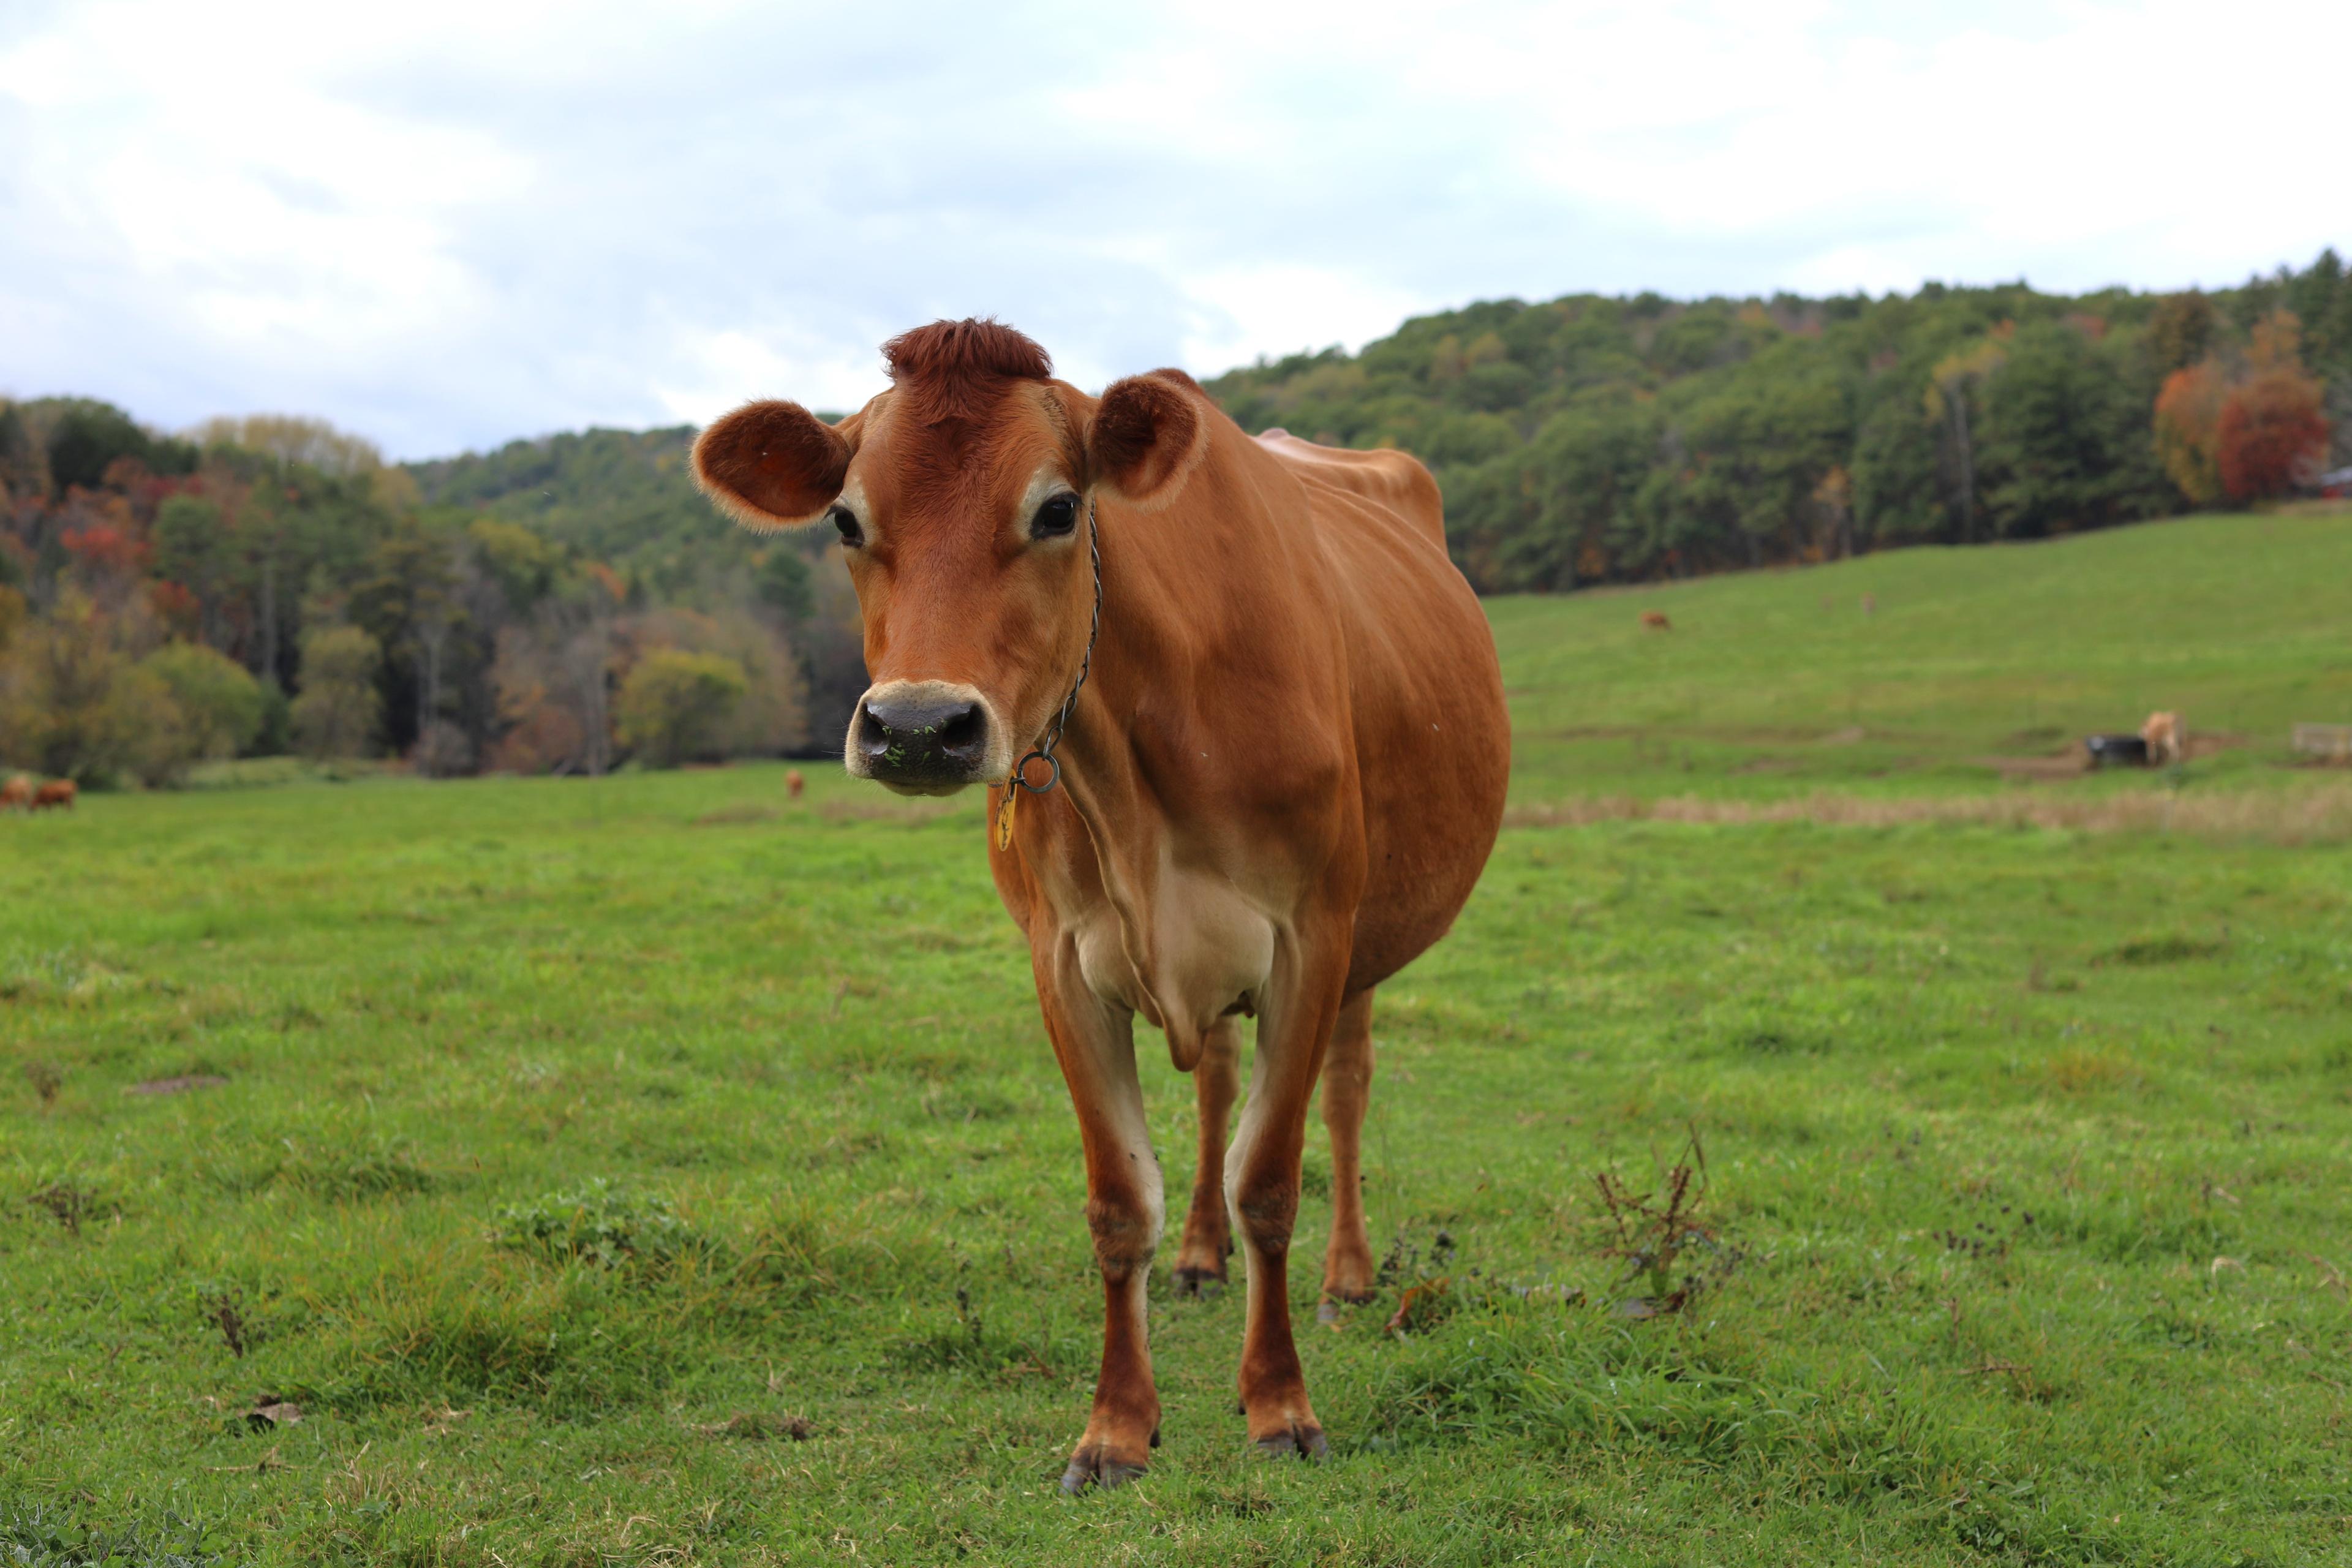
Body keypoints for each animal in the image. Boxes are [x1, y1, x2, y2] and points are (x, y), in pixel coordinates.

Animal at [691, 319, 1505, 1495]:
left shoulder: (1311, 939)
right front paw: (1118, 1426)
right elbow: (1123, 1205)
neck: (1137, 780)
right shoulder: (1065, 962)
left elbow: (1272, 1180)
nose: (918, 727)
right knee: (1215, 1082)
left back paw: (1349, 1277)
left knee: (1345, 1093)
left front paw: (1279, 1406)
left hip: (1367, 939)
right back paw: (1202, 1256)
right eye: (846, 519)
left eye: (1059, 509)